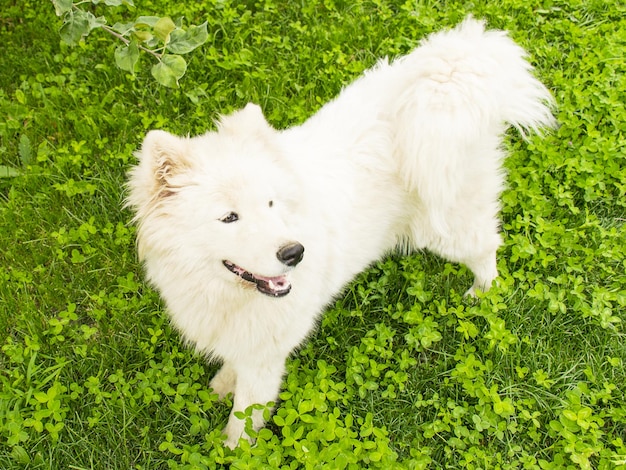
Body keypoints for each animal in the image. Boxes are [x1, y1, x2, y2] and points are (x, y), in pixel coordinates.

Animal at [125, 16, 552, 446]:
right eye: (230, 217)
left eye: (270, 204)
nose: (295, 253)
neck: (226, 294)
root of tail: (453, 78)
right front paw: (222, 383)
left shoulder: (266, 360)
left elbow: (242, 423)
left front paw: (232, 449)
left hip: (447, 228)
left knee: (487, 248)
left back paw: (483, 294)